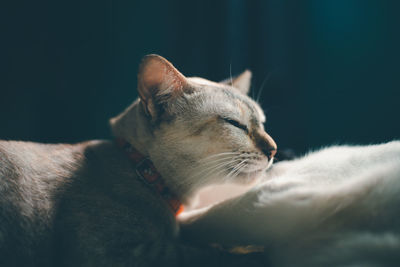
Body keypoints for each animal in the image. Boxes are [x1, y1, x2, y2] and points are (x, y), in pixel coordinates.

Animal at [0, 55, 276, 267]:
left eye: (262, 123)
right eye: (235, 124)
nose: (273, 150)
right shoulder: (112, 252)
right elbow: (200, 252)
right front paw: (251, 252)